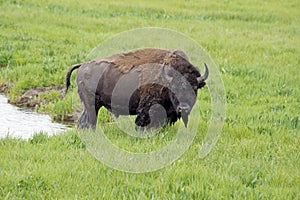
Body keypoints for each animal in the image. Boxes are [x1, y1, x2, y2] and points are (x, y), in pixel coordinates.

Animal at [65, 48, 207, 128]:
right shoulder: (147, 109)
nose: (184, 108)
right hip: (91, 104)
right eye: (174, 88)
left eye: (195, 87)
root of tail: (83, 65)